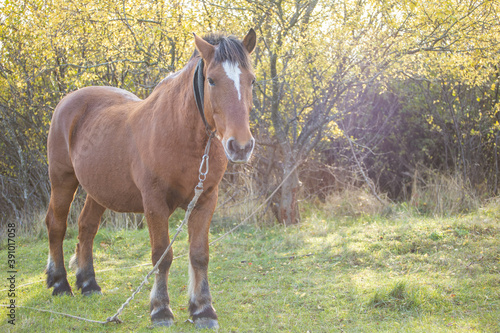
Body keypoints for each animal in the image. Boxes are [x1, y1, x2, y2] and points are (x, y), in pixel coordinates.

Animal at [44, 29, 256, 326]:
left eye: (252, 80)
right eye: (212, 80)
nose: (241, 146)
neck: (181, 133)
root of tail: (68, 100)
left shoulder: (205, 199)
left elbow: (199, 254)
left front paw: (203, 310)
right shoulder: (154, 203)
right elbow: (161, 255)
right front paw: (161, 310)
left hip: (98, 189)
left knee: (86, 227)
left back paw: (88, 284)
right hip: (62, 179)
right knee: (56, 225)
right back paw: (60, 284)